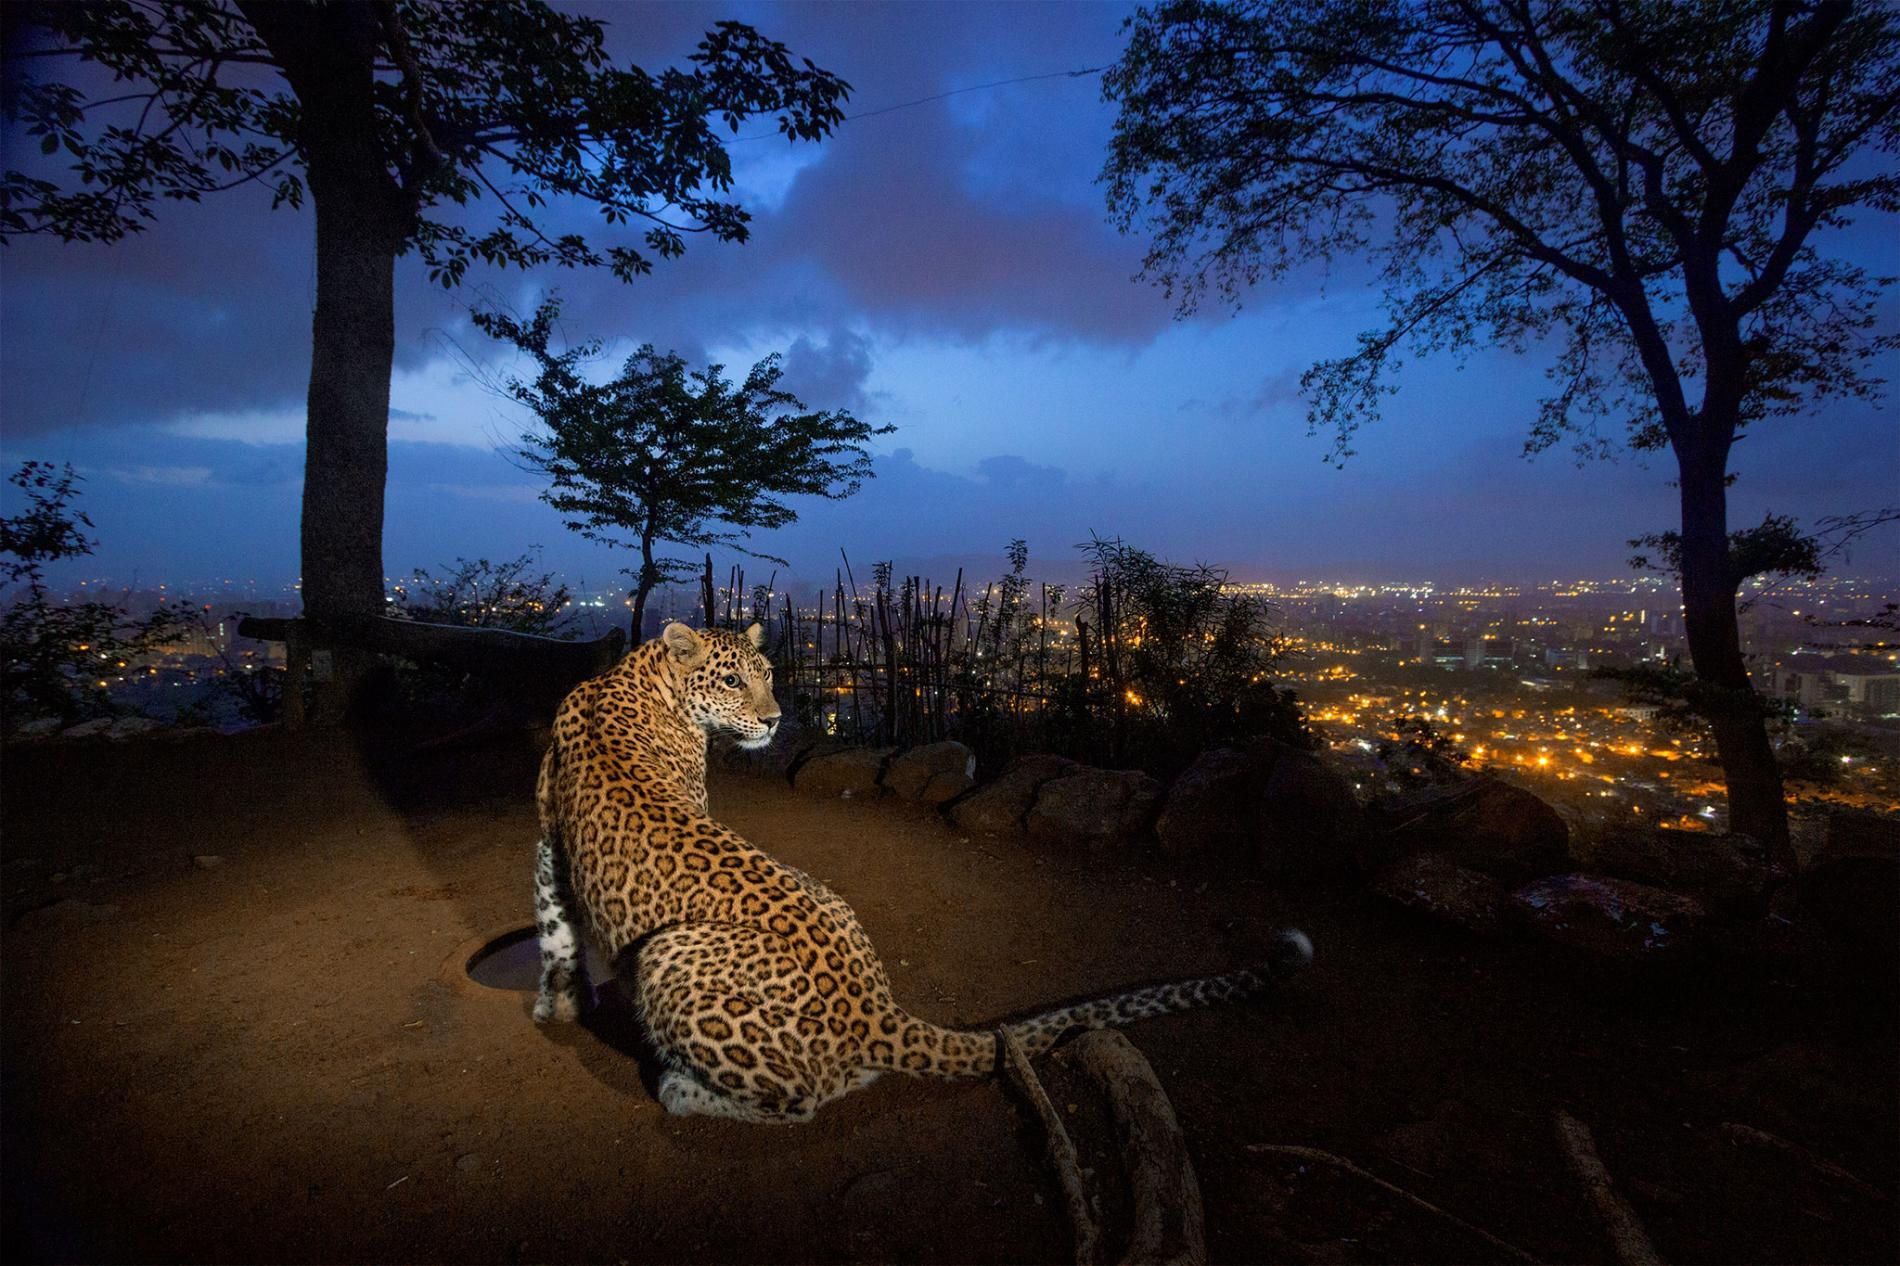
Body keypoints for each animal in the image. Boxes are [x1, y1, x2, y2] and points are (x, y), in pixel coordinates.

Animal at [528, 615, 1314, 1117]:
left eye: (769, 675)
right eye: (728, 681)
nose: (777, 720)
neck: (634, 678)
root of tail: (877, 1007)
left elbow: (554, 926)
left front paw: (561, 1006)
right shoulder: (549, 839)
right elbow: (555, 929)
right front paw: (560, 1006)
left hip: (667, 954)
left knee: (803, 1100)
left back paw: (682, 1092)